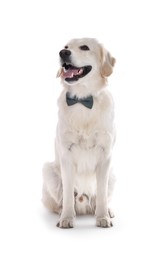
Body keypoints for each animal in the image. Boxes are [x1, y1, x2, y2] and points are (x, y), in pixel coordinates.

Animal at [42, 38, 116, 228]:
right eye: (66, 47)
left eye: (84, 47)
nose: (63, 53)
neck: (82, 100)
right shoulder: (67, 155)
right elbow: (68, 194)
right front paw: (67, 218)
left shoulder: (105, 155)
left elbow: (102, 194)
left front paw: (103, 217)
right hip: (49, 171)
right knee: (61, 200)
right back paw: (62, 212)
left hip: (112, 175)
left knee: (98, 198)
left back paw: (107, 211)